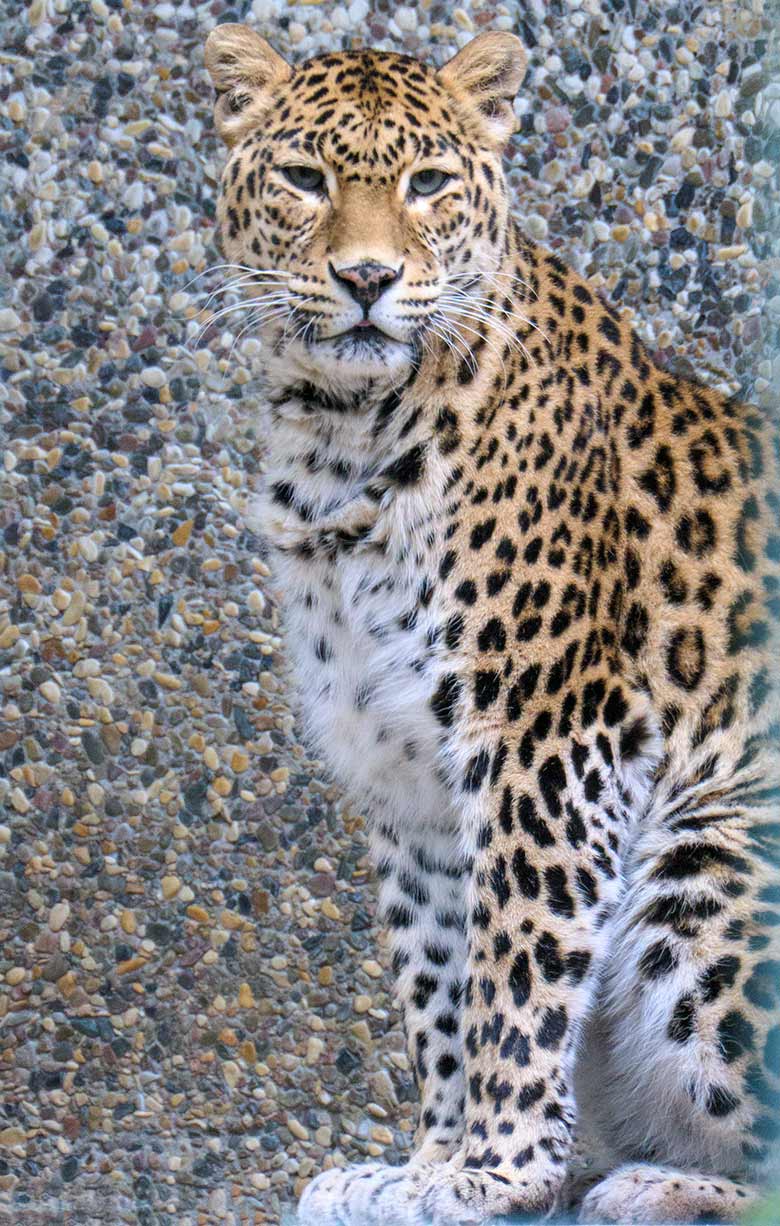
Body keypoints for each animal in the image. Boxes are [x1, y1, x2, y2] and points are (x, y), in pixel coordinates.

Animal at [202, 21, 779, 1226]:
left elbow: (518, 964)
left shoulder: (550, 738)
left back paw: (649, 1185)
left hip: (706, 856)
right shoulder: (403, 773)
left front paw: (495, 1173)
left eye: (427, 184)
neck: (343, 438)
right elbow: (438, 985)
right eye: (304, 178)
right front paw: (421, 1165)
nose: (367, 278)